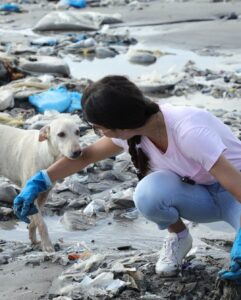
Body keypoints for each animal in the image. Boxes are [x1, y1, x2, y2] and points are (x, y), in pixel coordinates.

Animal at [0, 118, 82, 252]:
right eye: (61, 134)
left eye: (78, 132)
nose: (78, 152)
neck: (46, 154)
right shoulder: (29, 193)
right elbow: (41, 223)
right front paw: (48, 245)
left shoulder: (43, 193)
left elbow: (35, 219)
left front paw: (33, 237)